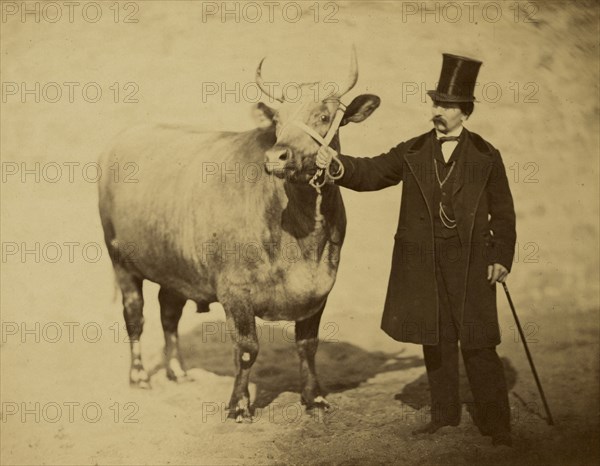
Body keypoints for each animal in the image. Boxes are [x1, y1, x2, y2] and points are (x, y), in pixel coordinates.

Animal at [98, 49, 380, 420]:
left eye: (324, 115)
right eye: (278, 120)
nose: (277, 156)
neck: (300, 235)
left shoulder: (320, 289)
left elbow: (307, 346)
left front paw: (314, 398)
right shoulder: (235, 291)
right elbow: (247, 350)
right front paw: (239, 405)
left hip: (175, 264)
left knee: (169, 313)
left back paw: (178, 371)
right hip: (120, 259)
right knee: (135, 316)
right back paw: (140, 376)